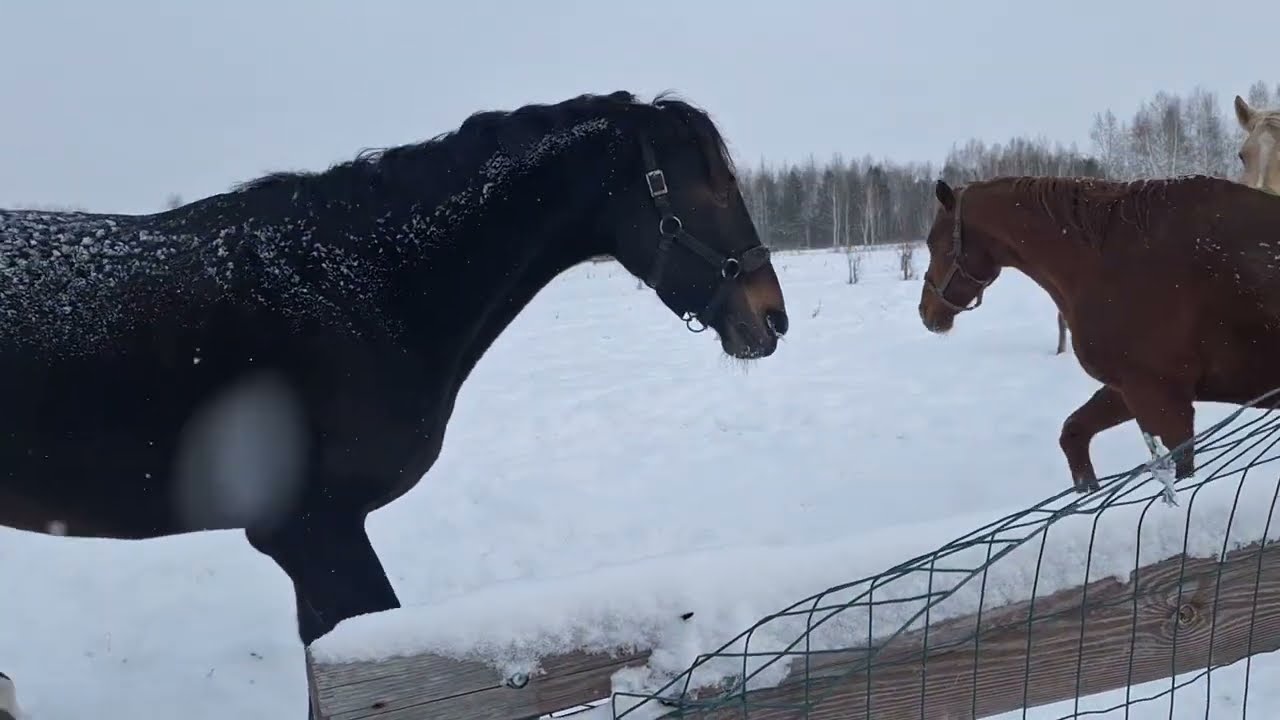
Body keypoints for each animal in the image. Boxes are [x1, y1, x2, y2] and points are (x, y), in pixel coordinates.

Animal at [916, 174, 1280, 493]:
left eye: (934, 243)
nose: (925, 312)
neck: (1105, 261)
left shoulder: (1161, 398)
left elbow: (1184, 473)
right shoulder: (1128, 389)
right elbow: (1073, 434)